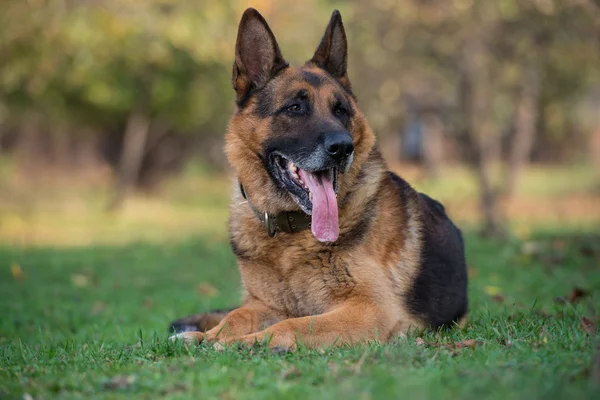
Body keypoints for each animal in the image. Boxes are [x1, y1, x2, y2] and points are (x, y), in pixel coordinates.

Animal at [170, 7, 468, 348]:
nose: (343, 147)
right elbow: (237, 316)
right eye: (294, 108)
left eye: (340, 110)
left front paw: (243, 342)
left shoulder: (370, 310)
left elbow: (294, 325)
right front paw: (205, 335)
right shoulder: (264, 305)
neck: (291, 235)